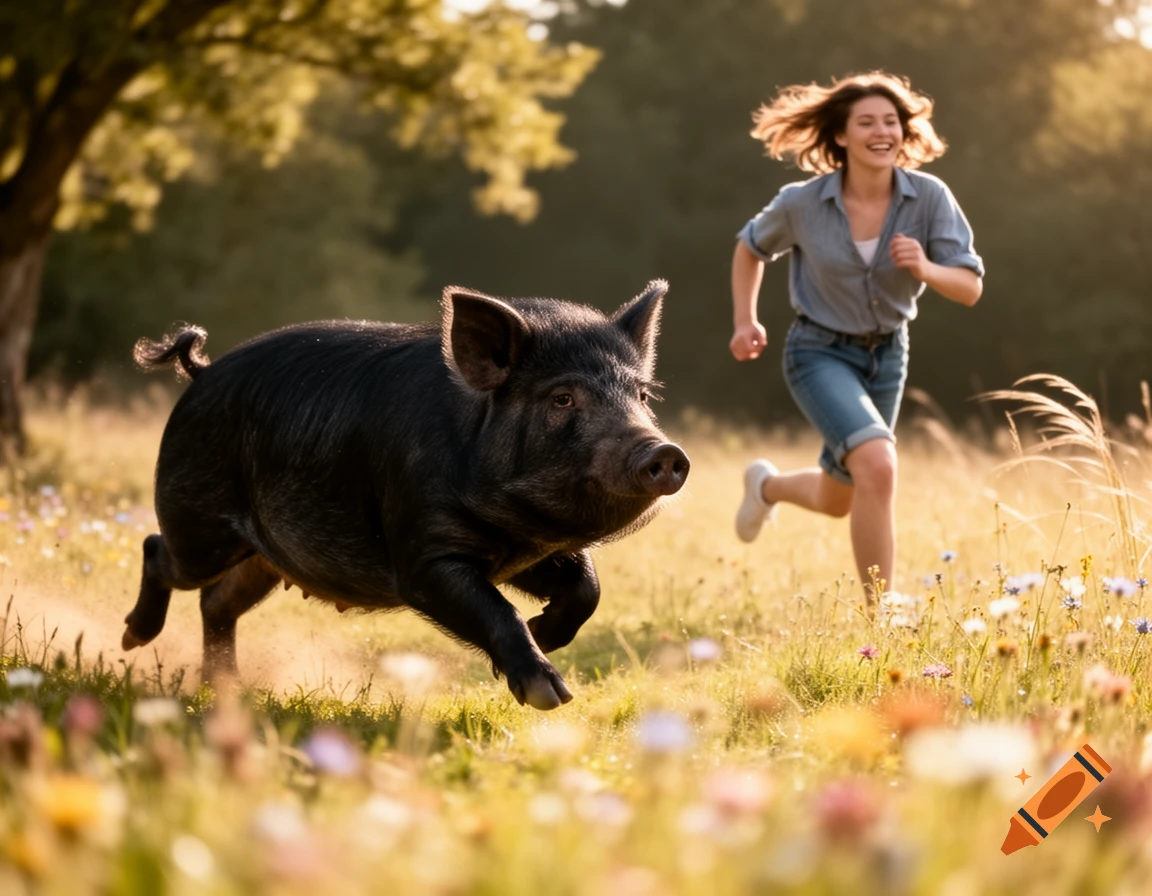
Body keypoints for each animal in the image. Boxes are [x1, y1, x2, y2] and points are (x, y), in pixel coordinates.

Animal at [121, 281, 689, 710]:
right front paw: (550, 695)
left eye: (642, 395)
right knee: (158, 551)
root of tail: (200, 373)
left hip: (263, 558)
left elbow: (587, 587)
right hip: (199, 524)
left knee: (217, 602)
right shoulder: (421, 554)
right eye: (563, 397)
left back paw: (226, 689)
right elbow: (495, 609)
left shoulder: (528, 553)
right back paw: (133, 638)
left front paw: (545, 632)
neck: (517, 527)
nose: (664, 452)